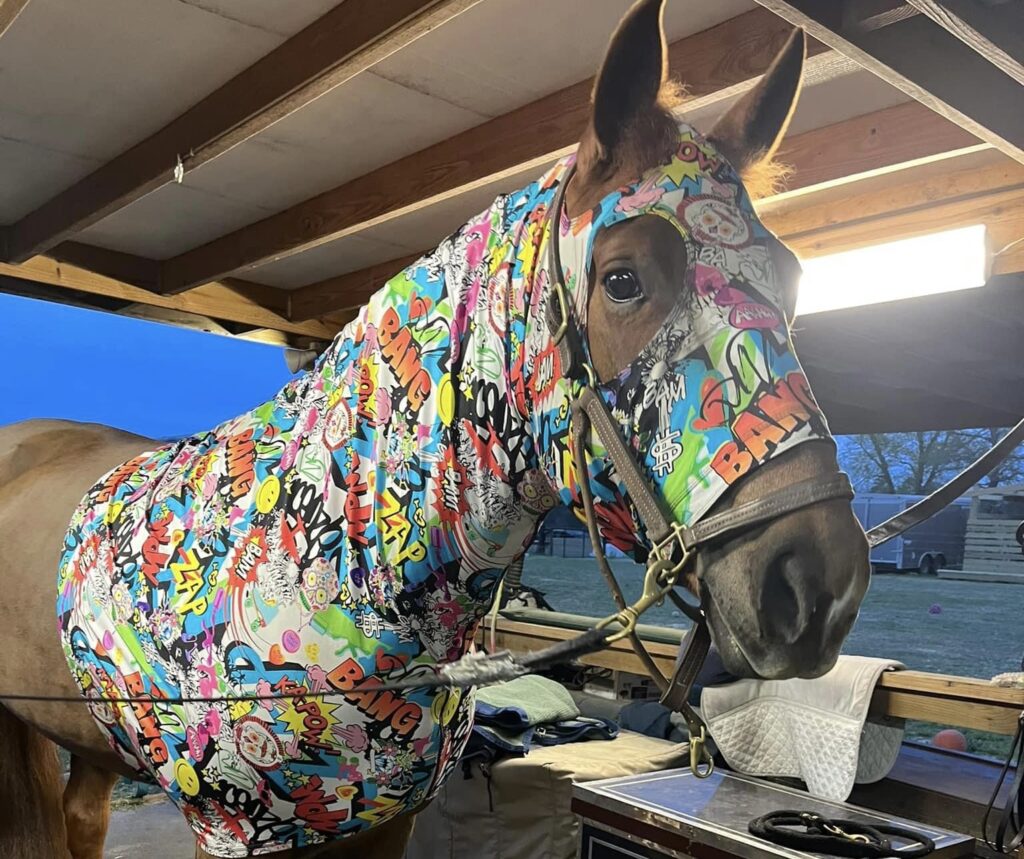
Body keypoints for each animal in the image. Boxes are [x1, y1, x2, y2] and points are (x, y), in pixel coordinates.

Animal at [0, 3, 872, 855]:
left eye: (792, 281)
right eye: (623, 279)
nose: (818, 587)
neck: (339, 569)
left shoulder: (387, 819)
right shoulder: (233, 833)